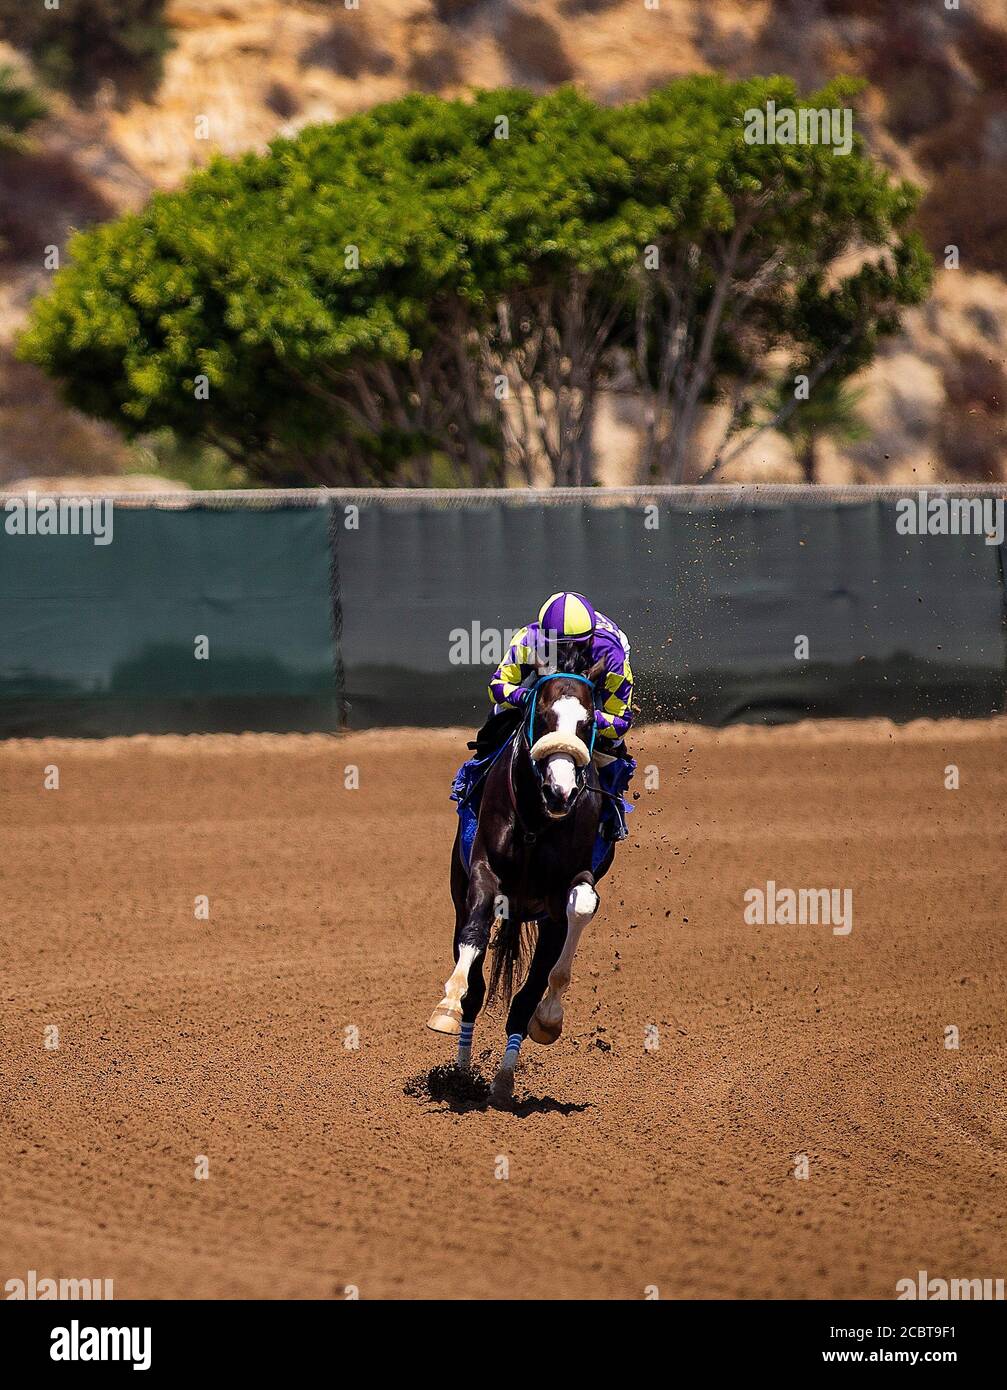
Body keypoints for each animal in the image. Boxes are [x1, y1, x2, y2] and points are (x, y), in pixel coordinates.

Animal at [425, 661, 614, 1106]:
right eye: (542, 715)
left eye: (587, 722)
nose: (561, 791)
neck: (536, 821)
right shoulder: (484, 871)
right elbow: (475, 933)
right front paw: (447, 1006)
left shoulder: (566, 889)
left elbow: (580, 906)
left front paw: (549, 1019)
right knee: (477, 989)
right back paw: (462, 1074)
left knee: (524, 999)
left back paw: (503, 1081)